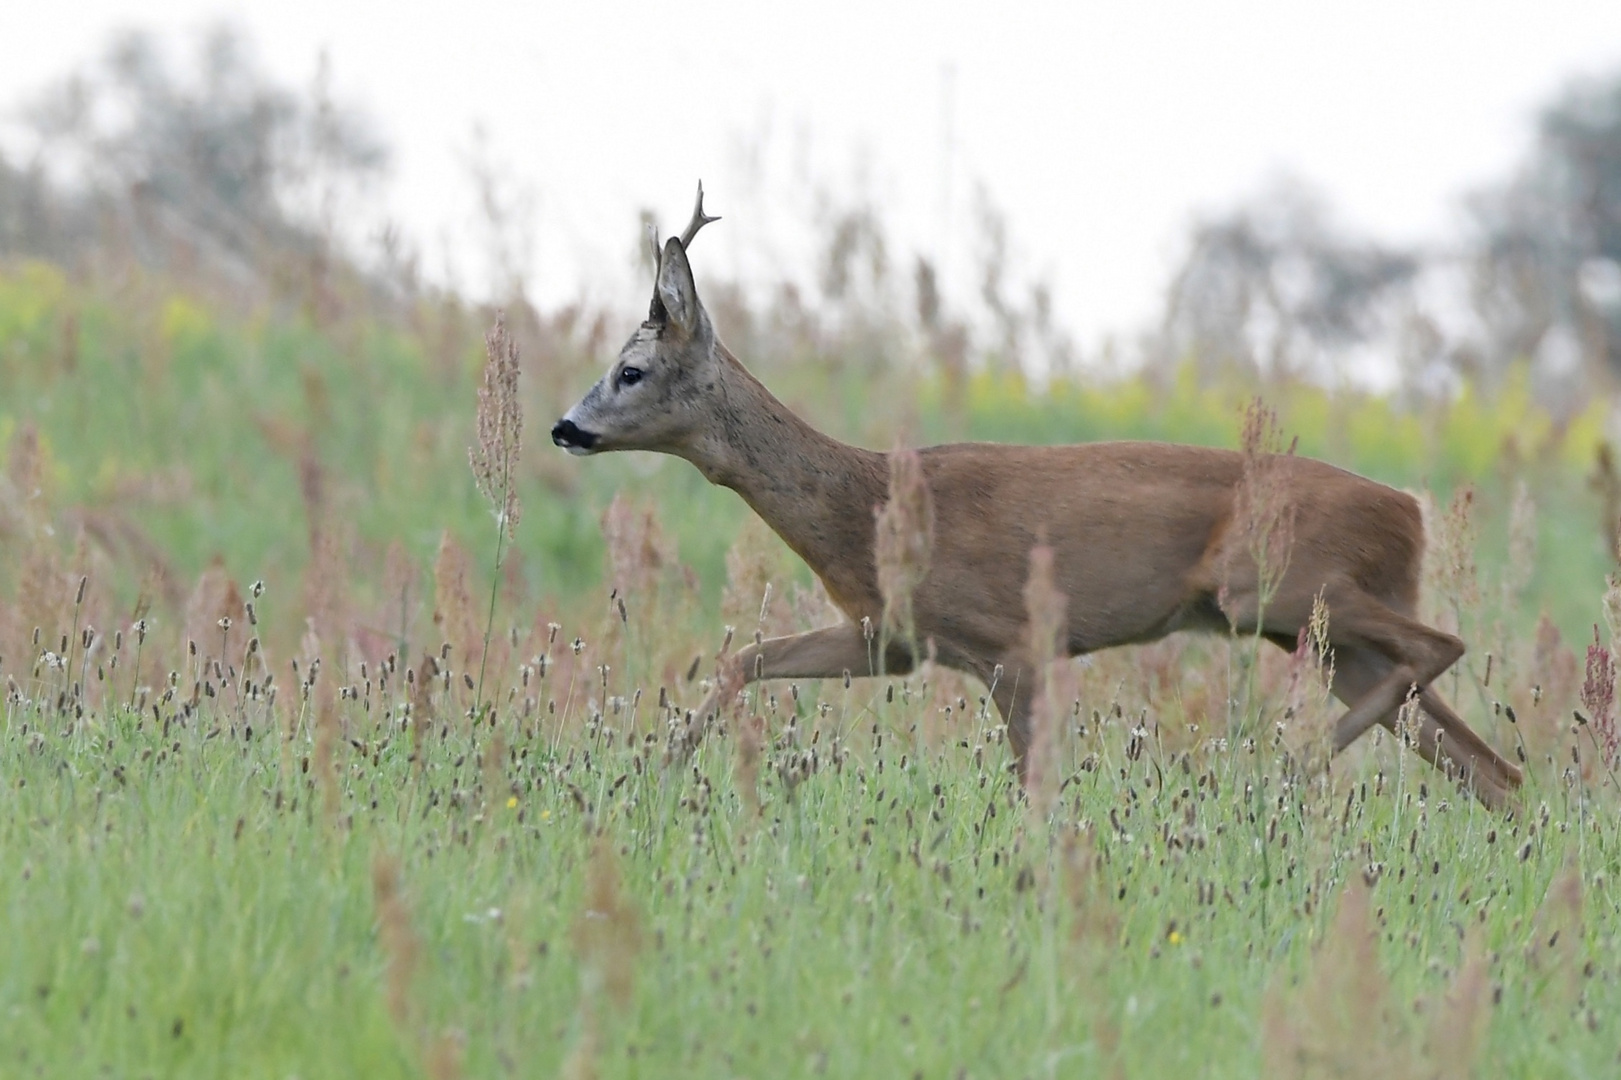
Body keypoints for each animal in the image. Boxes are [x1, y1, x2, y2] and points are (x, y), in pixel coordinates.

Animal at [554, 187, 1517, 807]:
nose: (565, 427)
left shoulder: (1010, 642)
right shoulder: (890, 636)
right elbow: (743, 657)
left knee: (1445, 647)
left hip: (1274, 590)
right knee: (1492, 766)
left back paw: (1281, 767)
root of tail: (1411, 513)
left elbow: (1035, 789)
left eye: (630, 370)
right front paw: (658, 774)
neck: (865, 507)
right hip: (1315, 635)